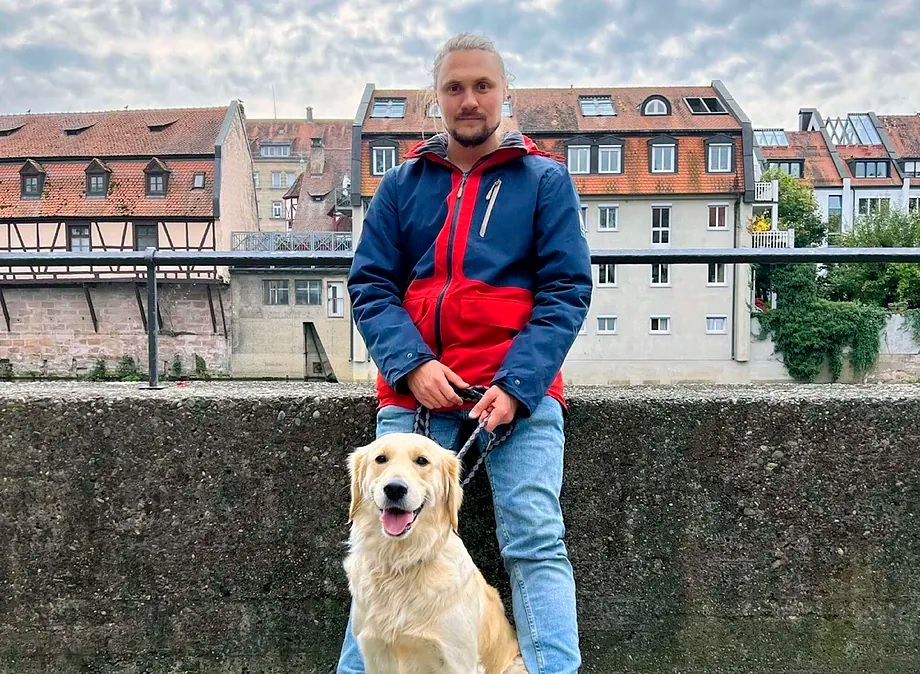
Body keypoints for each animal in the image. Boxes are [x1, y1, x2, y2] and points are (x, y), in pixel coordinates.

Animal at [344, 430, 528, 672]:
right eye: (380, 459)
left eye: (422, 461)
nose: (394, 488)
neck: (399, 563)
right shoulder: (374, 653)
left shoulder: (458, 661)